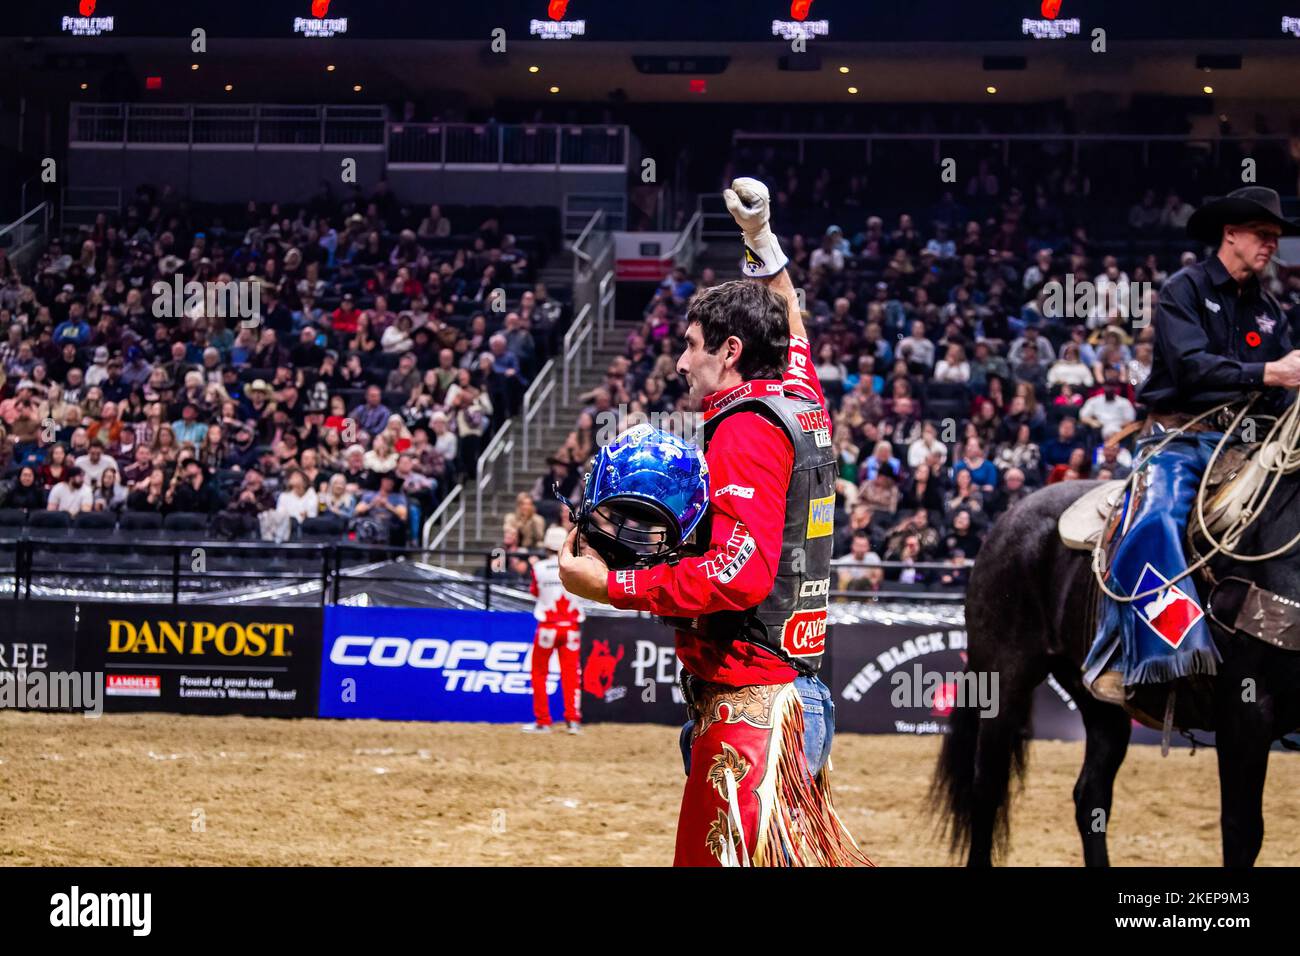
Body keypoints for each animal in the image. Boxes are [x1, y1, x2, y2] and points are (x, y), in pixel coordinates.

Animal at [941, 476, 1300, 868]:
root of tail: (1008, 519)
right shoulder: (1246, 713)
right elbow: (1242, 830)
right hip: (1002, 681)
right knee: (986, 786)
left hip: (1099, 704)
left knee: (1090, 796)